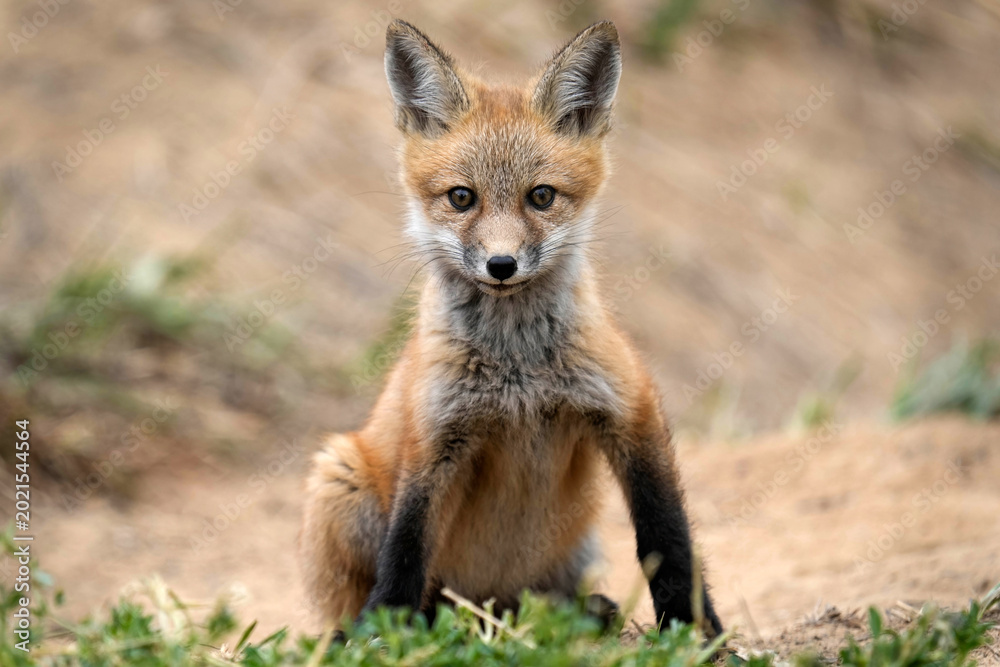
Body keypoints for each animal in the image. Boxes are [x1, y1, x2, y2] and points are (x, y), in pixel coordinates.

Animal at [299, 19, 724, 637]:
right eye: (461, 198)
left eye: (541, 196)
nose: (502, 265)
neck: (519, 370)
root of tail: (491, 604)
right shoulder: (432, 439)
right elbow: (405, 550)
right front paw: (382, 634)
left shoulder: (632, 410)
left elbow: (668, 539)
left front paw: (698, 633)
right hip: (340, 477)